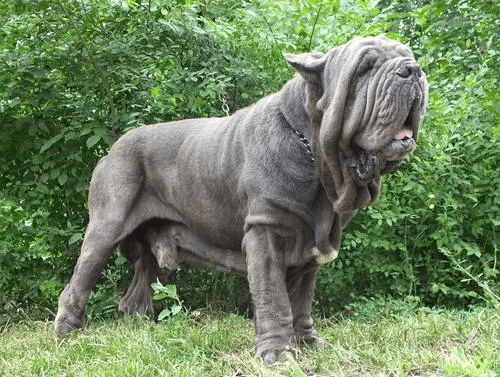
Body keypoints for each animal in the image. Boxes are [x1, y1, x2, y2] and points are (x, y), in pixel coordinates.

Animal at [56, 36, 428, 362]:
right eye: (366, 66)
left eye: (409, 57)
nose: (413, 69)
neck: (313, 148)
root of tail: (112, 149)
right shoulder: (266, 232)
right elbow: (274, 299)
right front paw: (277, 354)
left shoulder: (310, 245)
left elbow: (302, 303)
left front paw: (307, 343)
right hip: (106, 228)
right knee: (80, 280)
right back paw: (67, 335)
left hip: (154, 246)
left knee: (137, 290)